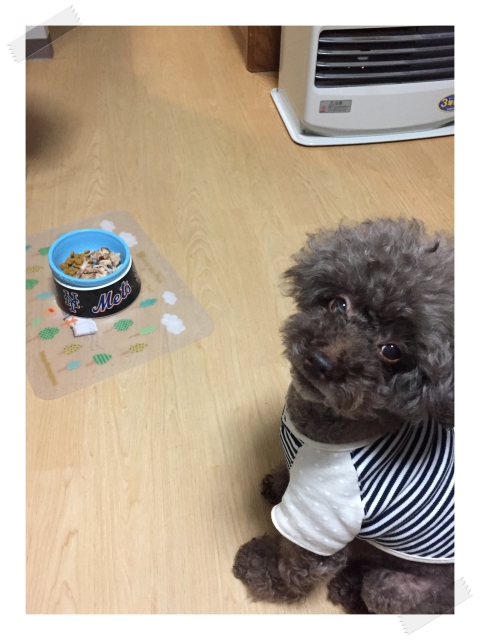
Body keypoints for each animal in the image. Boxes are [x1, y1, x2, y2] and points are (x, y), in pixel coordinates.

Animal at [233, 218, 454, 614]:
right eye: (339, 304)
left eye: (391, 351)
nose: (320, 362)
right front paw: (278, 484)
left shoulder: (321, 520)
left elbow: (294, 566)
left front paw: (261, 569)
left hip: (394, 587)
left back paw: (351, 589)